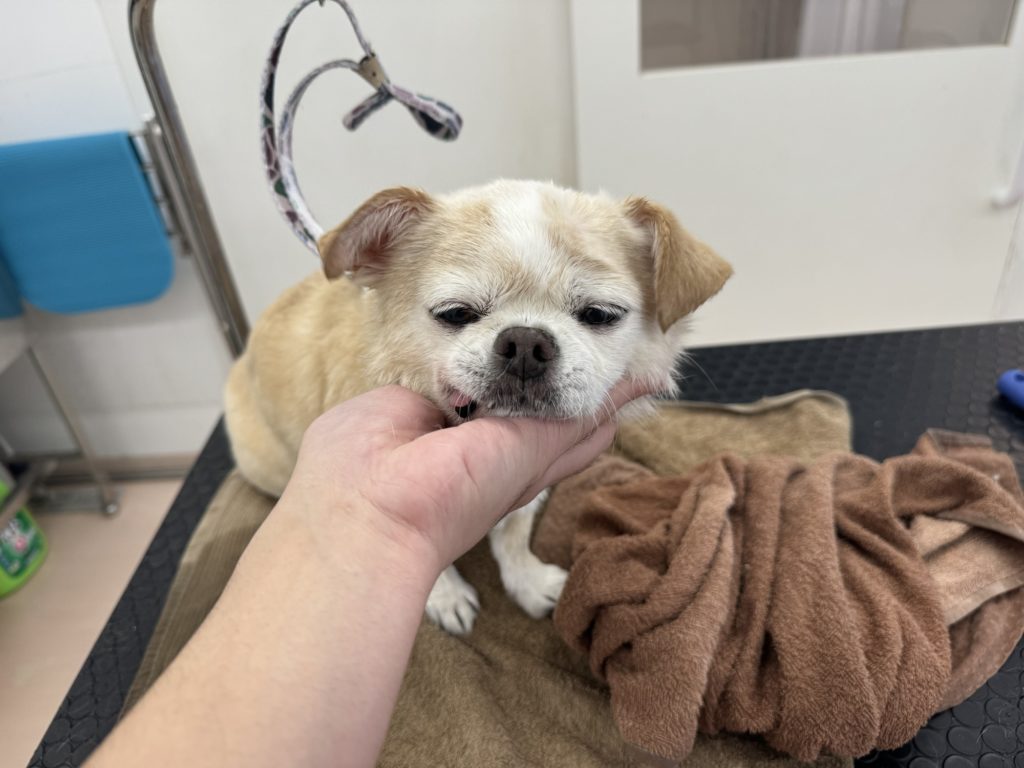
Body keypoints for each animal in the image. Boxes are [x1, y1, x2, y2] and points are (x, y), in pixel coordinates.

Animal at [224, 179, 731, 634]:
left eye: (599, 314)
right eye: (456, 313)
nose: (526, 343)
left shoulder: (527, 497)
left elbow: (514, 534)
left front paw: (527, 581)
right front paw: (445, 596)